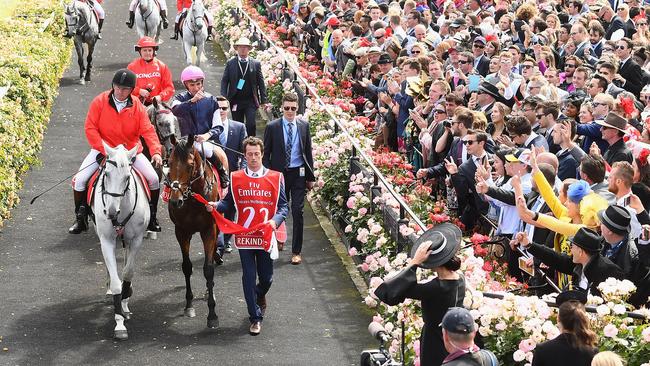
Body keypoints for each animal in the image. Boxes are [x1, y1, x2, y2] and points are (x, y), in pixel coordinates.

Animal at [91, 143, 149, 340]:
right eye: (106, 174)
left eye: (127, 178)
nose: (110, 213)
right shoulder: (107, 240)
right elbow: (117, 281)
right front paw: (119, 323)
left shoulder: (137, 239)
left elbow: (128, 273)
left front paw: (125, 302)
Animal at [165, 137, 220, 328]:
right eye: (169, 163)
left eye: (190, 166)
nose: (175, 201)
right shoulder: (181, 231)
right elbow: (187, 267)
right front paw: (189, 305)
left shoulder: (209, 230)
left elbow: (208, 269)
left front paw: (212, 314)